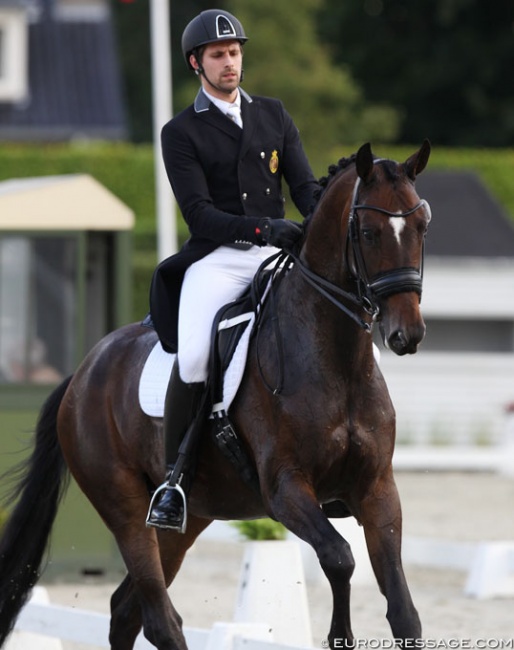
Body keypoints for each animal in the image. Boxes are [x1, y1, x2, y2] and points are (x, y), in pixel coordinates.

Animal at [0, 139, 430, 644]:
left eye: (422, 226)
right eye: (367, 231)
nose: (407, 334)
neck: (336, 362)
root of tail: (84, 373)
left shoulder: (378, 488)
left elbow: (404, 612)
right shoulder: (286, 489)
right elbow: (340, 557)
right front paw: (338, 634)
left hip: (188, 519)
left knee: (126, 610)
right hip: (123, 506)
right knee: (157, 616)